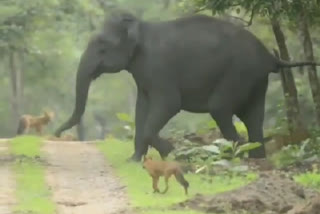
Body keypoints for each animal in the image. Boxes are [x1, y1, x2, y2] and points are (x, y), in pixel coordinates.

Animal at [53, 10, 318, 160]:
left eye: (102, 46)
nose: (55, 134)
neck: (141, 26)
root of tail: (270, 57)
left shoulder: (159, 67)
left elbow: (169, 104)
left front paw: (170, 152)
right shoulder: (144, 75)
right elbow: (141, 108)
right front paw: (134, 160)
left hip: (239, 73)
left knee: (220, 108)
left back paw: (239, 156)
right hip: (255, 79)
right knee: (254, 119)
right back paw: (256, 160)